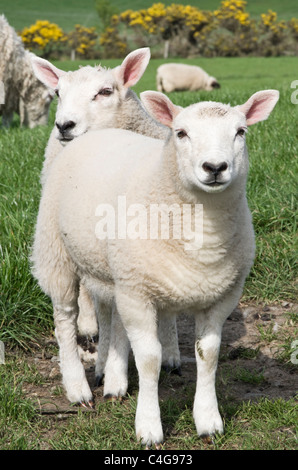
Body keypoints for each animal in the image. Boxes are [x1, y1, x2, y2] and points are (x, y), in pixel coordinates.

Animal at [30, 89, 280, 448]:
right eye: (181, 133)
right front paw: (148, 426)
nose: (215, 167)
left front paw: (208, 420)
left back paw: (112, 376)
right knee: (64, 320)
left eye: (240, 132)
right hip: (56, 251)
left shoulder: (221, 297)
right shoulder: (137, 294)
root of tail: (98, 132)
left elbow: (209, 355)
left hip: (115, 269)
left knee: (110, 314)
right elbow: (149, 359)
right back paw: (78, 388)